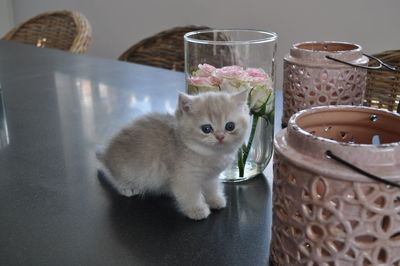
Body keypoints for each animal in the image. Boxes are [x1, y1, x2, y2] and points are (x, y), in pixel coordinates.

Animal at [99, 90, 248, 219]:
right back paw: (127, 187)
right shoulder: (185, 178)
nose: (220, 137)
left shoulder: (211, 177)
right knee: (115, 177)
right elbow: (190, 195)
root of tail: (107, 154)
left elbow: (212, 188)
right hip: (126, 169)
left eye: (230, 126)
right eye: (206, 129)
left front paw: (215, 200)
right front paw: (197, 210)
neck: (210, 155)